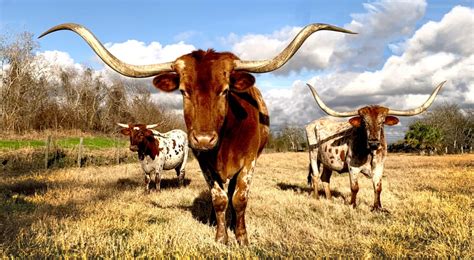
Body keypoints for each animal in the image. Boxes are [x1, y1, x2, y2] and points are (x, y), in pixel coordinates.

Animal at [39, 23, 356, 245]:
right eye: (183, 91)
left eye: (225, 90)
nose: (203, 140)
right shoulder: (204, 163)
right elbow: (219, 199)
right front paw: (221, 237)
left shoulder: (249, 162)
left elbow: (240, 199)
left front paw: (241, 237)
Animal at [306, 82, 446, 212]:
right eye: (364, 122)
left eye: (382, 122)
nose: (374, 143)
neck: (370, 152)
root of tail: (313, 123)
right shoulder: (352, 167)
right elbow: (355, 187)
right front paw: (352, 205)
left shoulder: (379, 166)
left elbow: (378, 187)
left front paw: (378, 207)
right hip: (313, 154)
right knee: (315, 176)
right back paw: (316, 198)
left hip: (327, 161)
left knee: (325, 178)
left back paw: (329, 199)